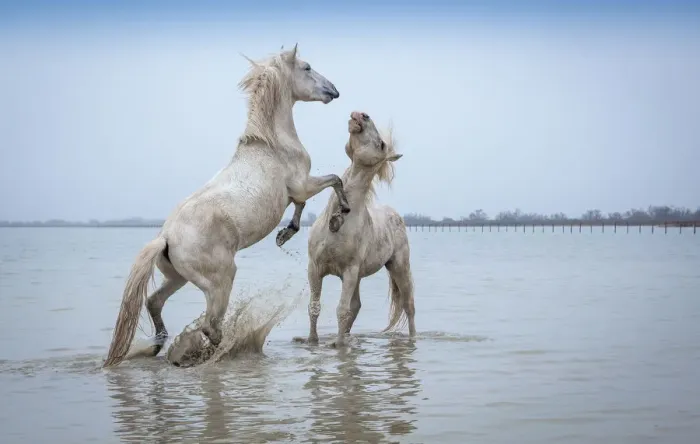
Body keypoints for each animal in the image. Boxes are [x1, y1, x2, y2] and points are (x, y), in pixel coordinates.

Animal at [102, 45, 351, 368]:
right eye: (307, 67)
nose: (333, 90)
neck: (272, 143)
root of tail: (165, 237)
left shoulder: (297, 189)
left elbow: (301, 205)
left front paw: (284, 234)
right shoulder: (302, 183)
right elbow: (333, 181)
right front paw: (340, 214)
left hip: (178, 278)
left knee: (154, 301)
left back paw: (161, 345)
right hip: (220, 280)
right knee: (210, 325)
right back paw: (216, 352)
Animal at [303, 111, 416, 347]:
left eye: (382, 145)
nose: (360, 116)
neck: (340, 221)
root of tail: (395, 214)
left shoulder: (349, 271)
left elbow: (341, 309)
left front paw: (339, 346)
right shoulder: (314, 268)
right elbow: (314, 307)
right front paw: (312, 341)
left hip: (398, 267)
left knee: (409, 305)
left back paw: (412, 338)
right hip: (358, 277)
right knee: (356, 306)